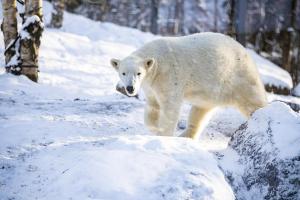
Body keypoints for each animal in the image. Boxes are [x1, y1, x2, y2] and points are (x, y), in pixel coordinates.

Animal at [110, 32, 268, 139]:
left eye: (138, 73)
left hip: (238, 78)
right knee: (200, 111)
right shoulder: (151, 87)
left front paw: (164, 134)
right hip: (212, 92)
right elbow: (153, 106)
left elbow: (170, 106)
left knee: (252, 101)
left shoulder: (169, 76)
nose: (130, 88)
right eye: (123, 73)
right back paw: (185, 136)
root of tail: (246, 52)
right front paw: (154, 128)